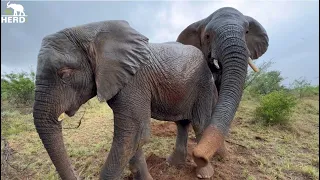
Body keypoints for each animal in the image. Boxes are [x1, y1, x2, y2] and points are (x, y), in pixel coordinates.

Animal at [33, 19, 221, 179]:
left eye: (64, 73)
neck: (90, 31)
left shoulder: (134, 81)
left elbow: (133, 134)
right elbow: (133, 137)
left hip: (204, 84)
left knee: (199, 124)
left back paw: (204, 174)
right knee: (182, 123)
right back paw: (173, 164)